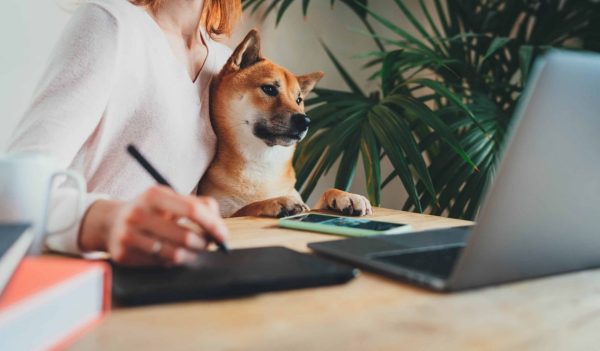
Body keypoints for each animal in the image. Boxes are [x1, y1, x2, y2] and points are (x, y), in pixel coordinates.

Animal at [199, 30, 372, 219]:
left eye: (299, 100)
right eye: (269, 89)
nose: (305, 121)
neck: (262, 163)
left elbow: (324, 195)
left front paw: (345, 196)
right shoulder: (220, 214)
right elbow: (246, 208)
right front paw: (276, 201)